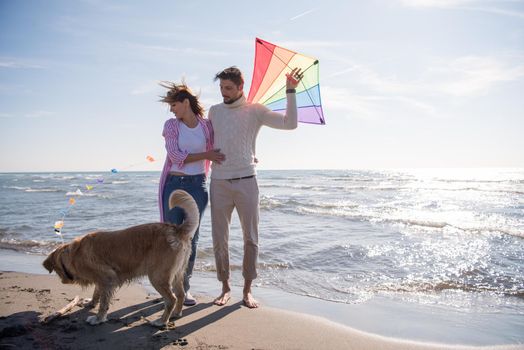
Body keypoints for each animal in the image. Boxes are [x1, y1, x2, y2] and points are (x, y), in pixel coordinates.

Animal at [42, 190, 199, 326]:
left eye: (57, 270)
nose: (63, 282)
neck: (75, 254)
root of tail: (176, 229)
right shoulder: (101, 280)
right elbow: (96, 293)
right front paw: (90, 303)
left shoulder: (107, 278)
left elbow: (103, 302)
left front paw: (98, 318)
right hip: (177, 274)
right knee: (181, 294)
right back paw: (176, 314)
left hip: (157, 276)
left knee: (171, 299)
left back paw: (161, 321)